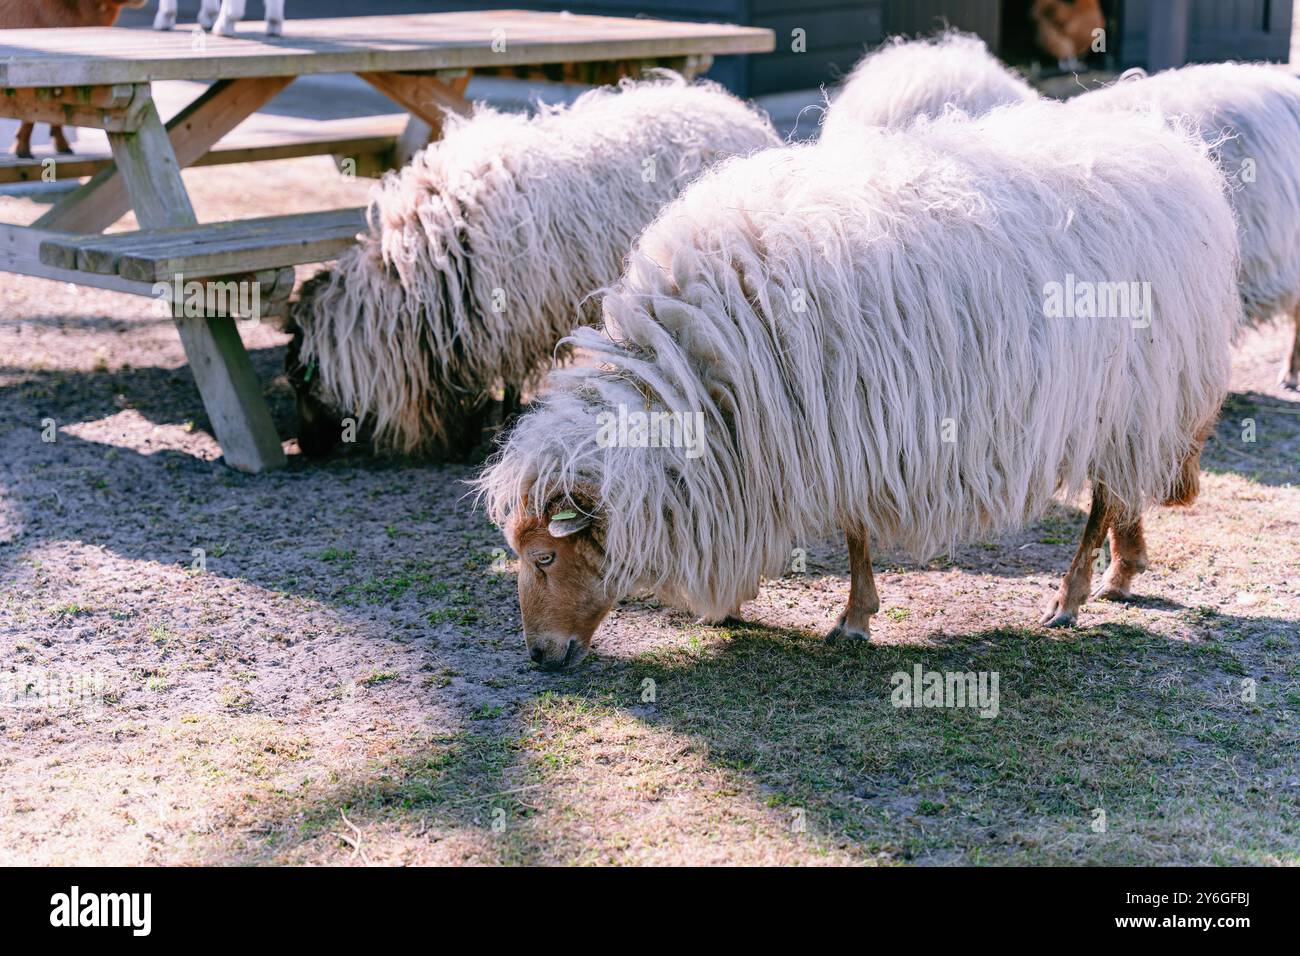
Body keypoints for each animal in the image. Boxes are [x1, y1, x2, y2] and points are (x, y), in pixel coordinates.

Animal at [286, 74, 774, 455]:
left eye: (302, 381)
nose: (305, 449)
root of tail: (734, 109)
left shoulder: (507, 317)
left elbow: (508, 377)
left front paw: (502, 421)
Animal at [478, 97, 1237, 665]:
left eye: (544, 558)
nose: (539, 657)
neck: (701, 386)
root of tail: (1173, 154)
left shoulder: (841, 421)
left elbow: (852, 530)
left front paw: (851, 619)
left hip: (1128, 391)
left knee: (1105, 498)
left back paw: (1070, 598)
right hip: (1138, 398)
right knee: (1126, 491)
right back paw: (1123, 571)